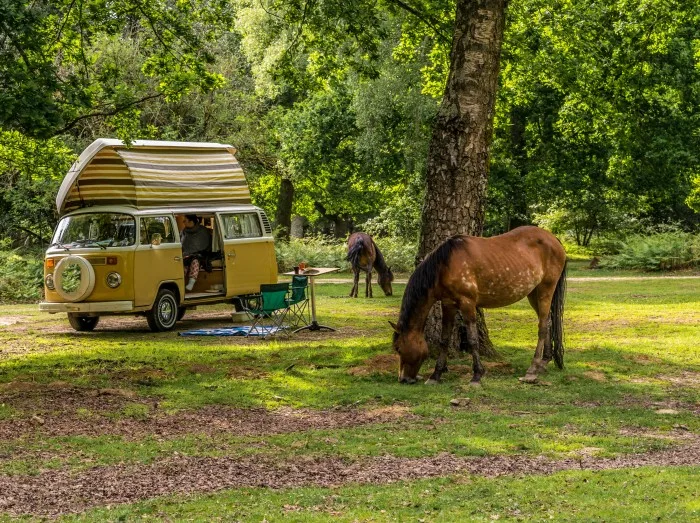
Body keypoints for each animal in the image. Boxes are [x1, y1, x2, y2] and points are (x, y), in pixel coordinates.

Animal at [392, 227, 568, 386]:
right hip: (533, 294)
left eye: (399, 348)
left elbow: (472, 340)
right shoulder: (448, 304)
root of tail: (554, 239)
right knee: (548, 322)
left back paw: (533, 369)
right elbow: (444, 339)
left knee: (543, 326)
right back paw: (544, 362)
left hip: (546, 289)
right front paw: (436, 375)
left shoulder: (467, 303)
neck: (445, 265)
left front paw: (477, 375)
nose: (403, 379)